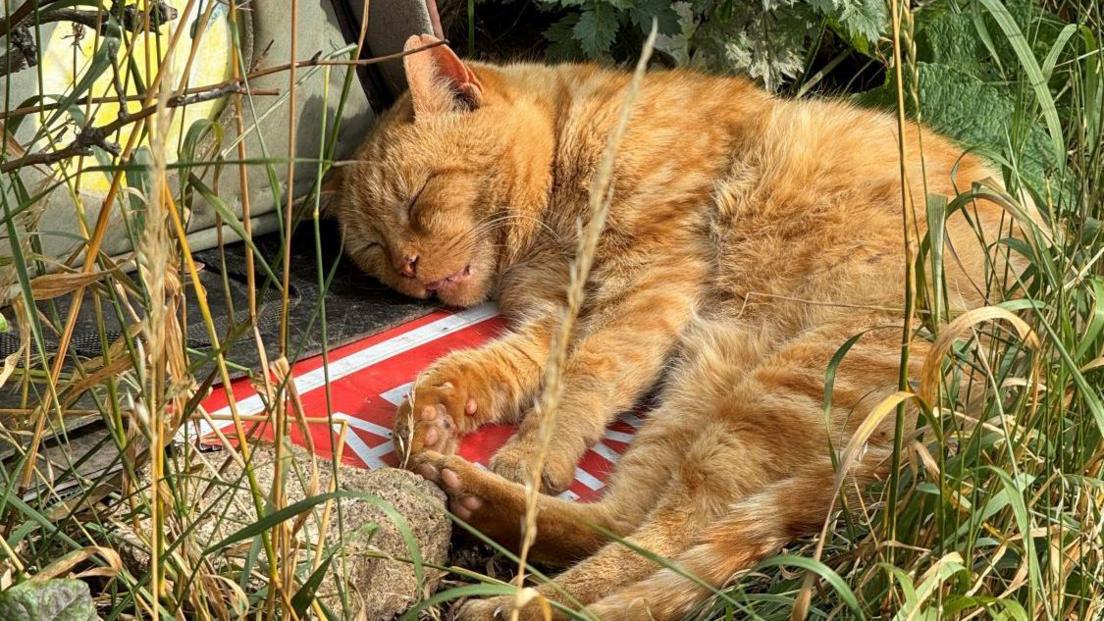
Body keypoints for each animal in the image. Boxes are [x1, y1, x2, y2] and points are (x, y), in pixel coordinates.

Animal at [333, 33, 1015, 618]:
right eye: (374, 249)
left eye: (418, 197)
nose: (409, 265)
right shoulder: (560, 316)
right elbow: (494, 367)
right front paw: (436, 410)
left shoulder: (647, 290)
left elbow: (580, 382)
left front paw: (528, 451)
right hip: (710, 375)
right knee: (628, 521)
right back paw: (476, 506)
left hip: (779, 384)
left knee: (665, 540)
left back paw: (518, 598)